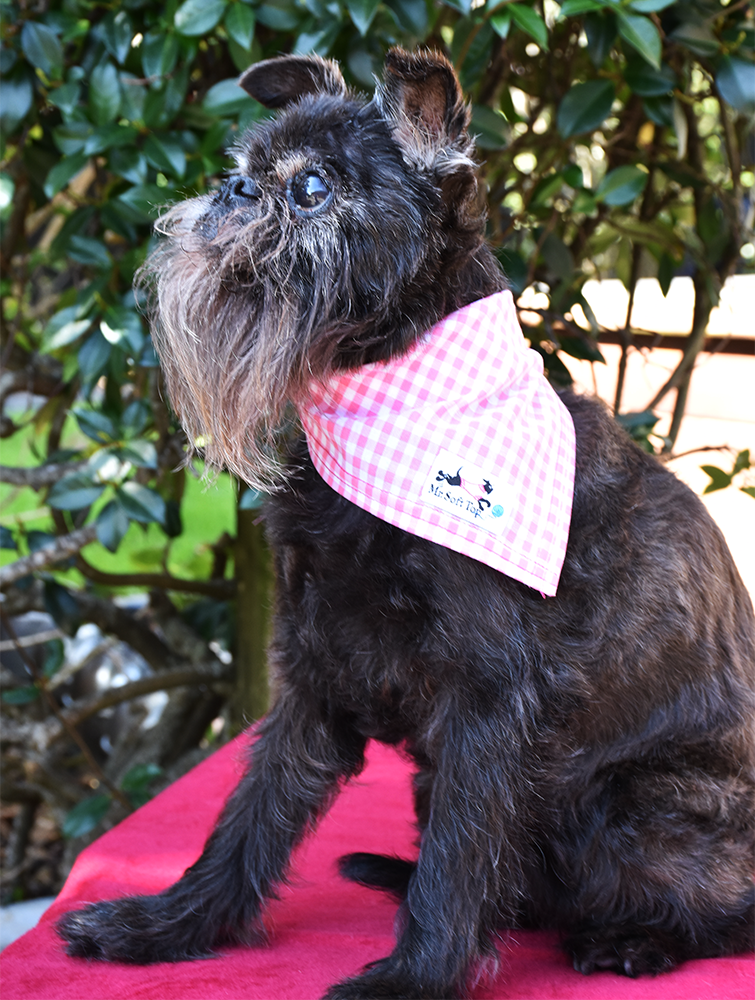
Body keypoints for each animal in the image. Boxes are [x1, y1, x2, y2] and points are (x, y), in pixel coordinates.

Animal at [57, 48, 755, 1000]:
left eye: (311, 188)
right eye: (243, 168)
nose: (235, 191)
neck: (387, 399)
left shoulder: (488, 703)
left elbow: (458, 858)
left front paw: (412, 979)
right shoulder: (313, 677)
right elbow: (247, 822)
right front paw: (165, 925)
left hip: (633, 809)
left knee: (716, 914)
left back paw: (629, 942)